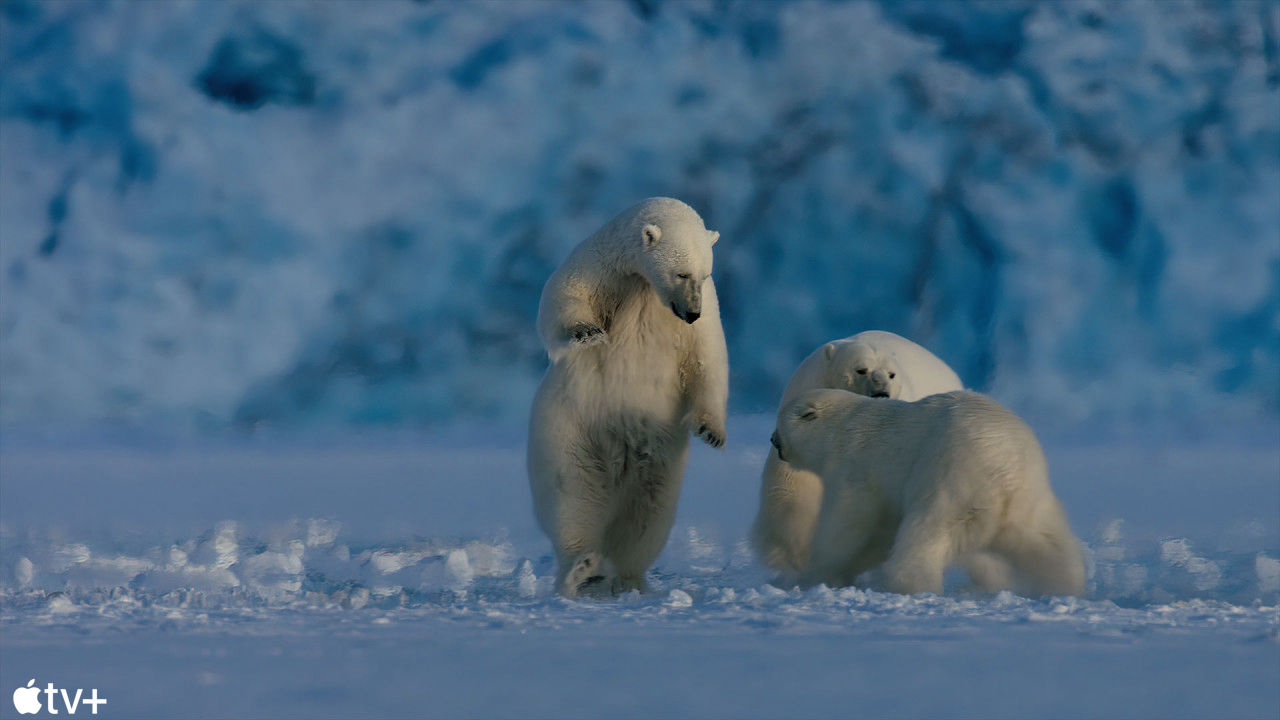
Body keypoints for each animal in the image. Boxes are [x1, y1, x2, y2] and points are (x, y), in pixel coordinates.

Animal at [527, 196, 732, 594]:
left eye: (704, 274)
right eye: (681, 273)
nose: (691, 312)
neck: (642, 285)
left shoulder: (705, 312)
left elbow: (708, 359)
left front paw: (712, 432)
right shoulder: (599, 266)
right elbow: (560, 298)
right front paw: (587, 332)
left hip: (660, 456)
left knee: (647, 515)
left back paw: (625, 578)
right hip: (571, 430)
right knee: (573, 496)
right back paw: (581, 570)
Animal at [762, 386, 1085, 594]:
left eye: (780, 422)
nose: (772, 438)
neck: (844, 427)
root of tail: (1005, 475)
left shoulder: (856, 467)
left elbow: (849, 524)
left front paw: (814, 573)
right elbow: (879, 532)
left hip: (949, 476)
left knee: (927, 530)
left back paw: (902, 583)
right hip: (1031, 500)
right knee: (1046, 544)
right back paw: (1065, 583)